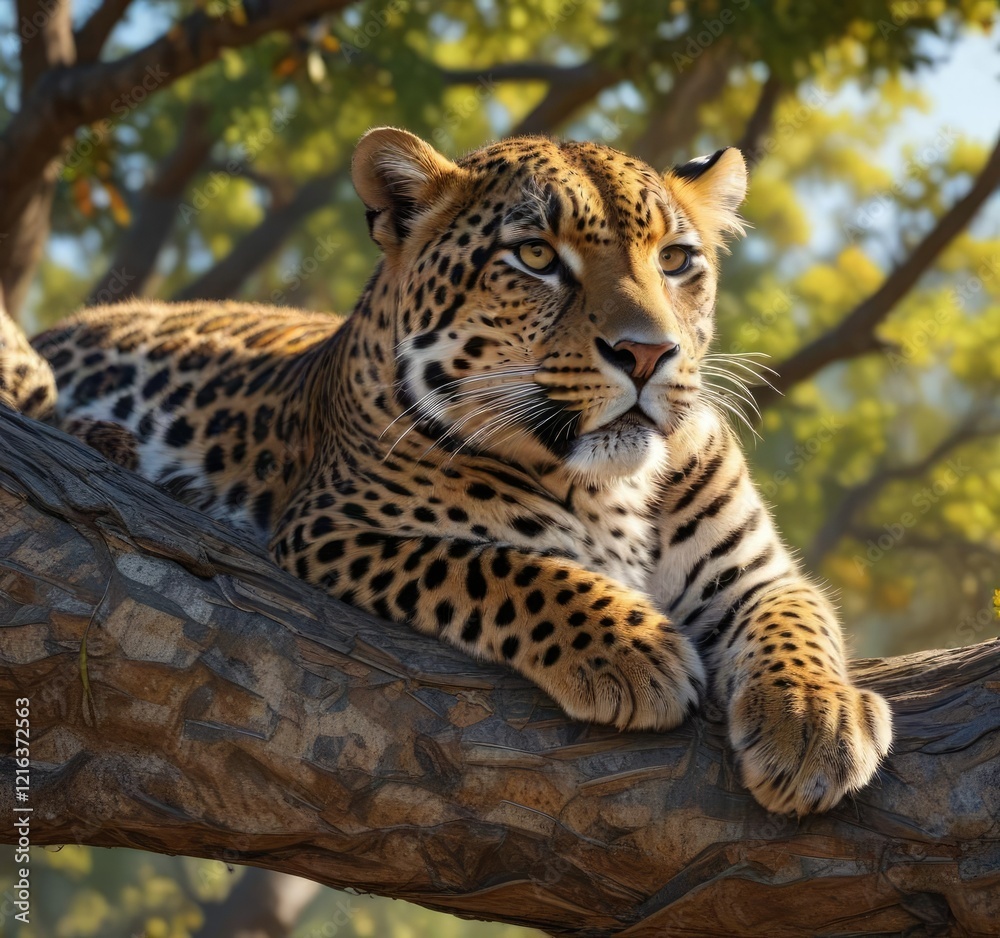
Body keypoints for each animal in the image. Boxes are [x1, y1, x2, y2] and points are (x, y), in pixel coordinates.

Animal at [1, 127, 892, 815]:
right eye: (535, 256)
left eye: (676, 261)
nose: (648, 353)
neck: (612, 487)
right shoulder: (336, 528)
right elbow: (507, 568)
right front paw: (633, 652)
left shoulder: (754, 574)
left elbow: (799, 619)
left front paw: (817, 723)